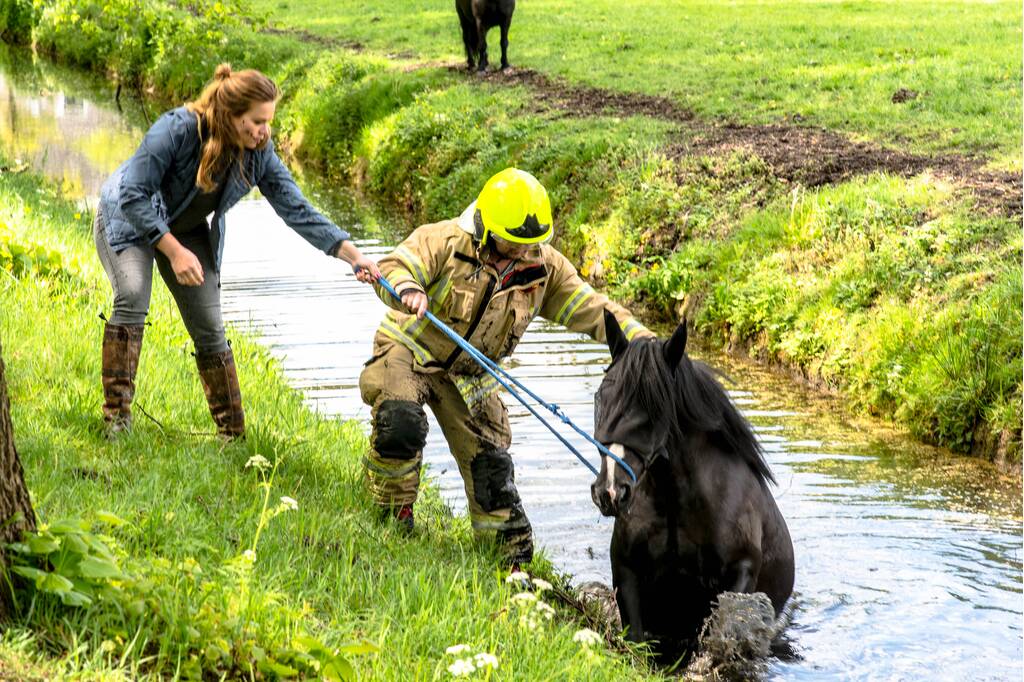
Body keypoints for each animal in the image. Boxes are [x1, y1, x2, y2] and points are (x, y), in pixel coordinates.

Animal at [590, 311, 794, 662]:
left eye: (654, 407)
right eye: (600, 397)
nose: (611, 492)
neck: (676, 504)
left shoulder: (740, 572)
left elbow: (717, 634)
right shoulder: (628, 571)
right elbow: (636, 641)